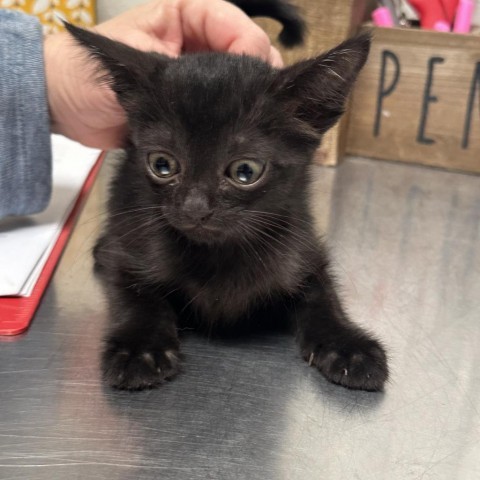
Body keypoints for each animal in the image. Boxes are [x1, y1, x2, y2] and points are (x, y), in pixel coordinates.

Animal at [67, 8, 388, 390]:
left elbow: (322, 295)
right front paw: (138, 348)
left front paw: (348, 345)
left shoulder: (304, 246)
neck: (220, 254)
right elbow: (136, 294)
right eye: (162, 165)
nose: (195, 208)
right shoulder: (129, 251)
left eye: (245, 171)